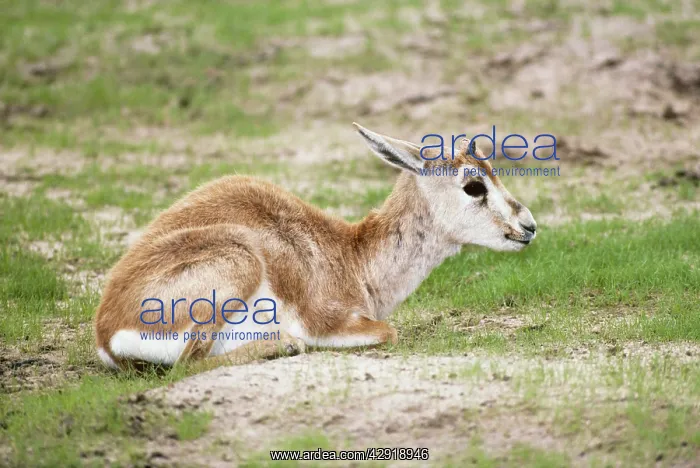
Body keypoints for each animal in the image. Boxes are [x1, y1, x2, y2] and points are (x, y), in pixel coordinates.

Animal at [94, 124, 536, 370]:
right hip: (238, 260)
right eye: (473, 185)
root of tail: (106, 331)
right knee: (188, 365)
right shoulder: (329, 322)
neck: (353, 256)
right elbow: (388, 332)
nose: (528, 226)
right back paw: (285, 345)